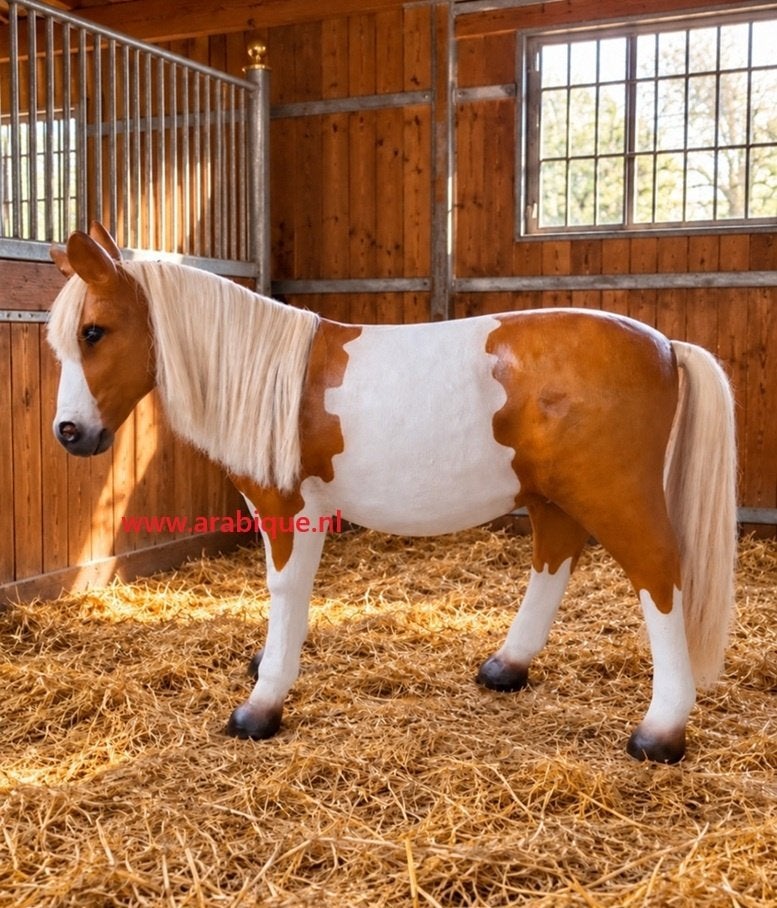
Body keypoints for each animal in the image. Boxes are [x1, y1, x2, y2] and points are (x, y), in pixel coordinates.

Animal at [47, 223, 737, 764]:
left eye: (94, 332)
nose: (70, 433)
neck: (275, 378)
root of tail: (665, 346)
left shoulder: (289, 509)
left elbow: (285, 589)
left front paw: (263, 704)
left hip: (615, 497)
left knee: (658, 576)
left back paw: (661, 731)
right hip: (552, 496)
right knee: (554, 558)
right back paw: (506, 667)